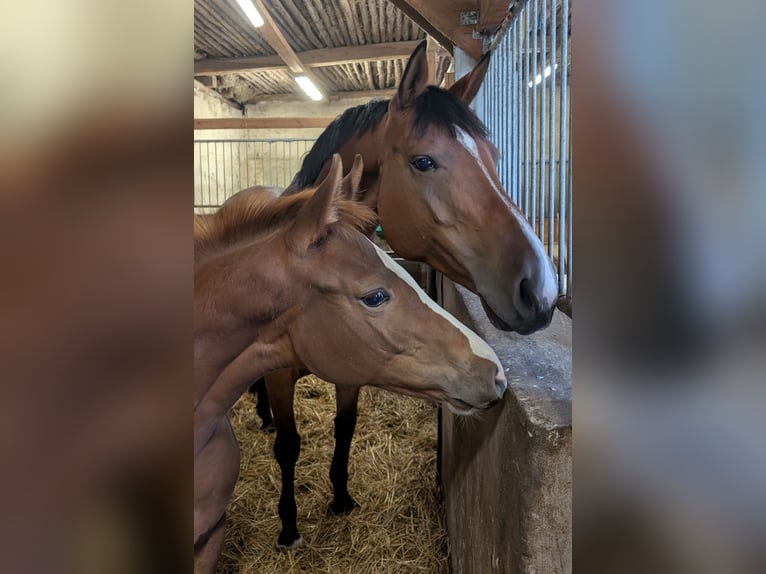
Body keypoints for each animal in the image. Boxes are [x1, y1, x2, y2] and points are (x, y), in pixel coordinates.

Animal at [253, 40, 560, 550]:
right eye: (423, 161)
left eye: (494, 157)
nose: (541, 289)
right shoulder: (279, 378)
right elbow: (289, 446)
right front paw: (289, 526)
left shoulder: (354, 368)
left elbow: (345, 427)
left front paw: (341, 497)